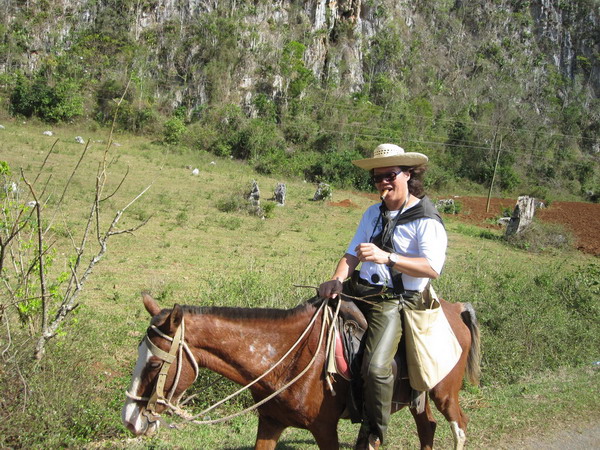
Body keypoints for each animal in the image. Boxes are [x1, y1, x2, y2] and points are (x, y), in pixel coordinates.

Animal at [123, 294, 482, 448]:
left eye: (154, 364)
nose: (130, 420)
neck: (285, 359)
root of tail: (455, 308)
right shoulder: (270, 424)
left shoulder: (325, 430)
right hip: (415, 397)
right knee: (427, 428)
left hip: (444, 393)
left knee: (459, 427)